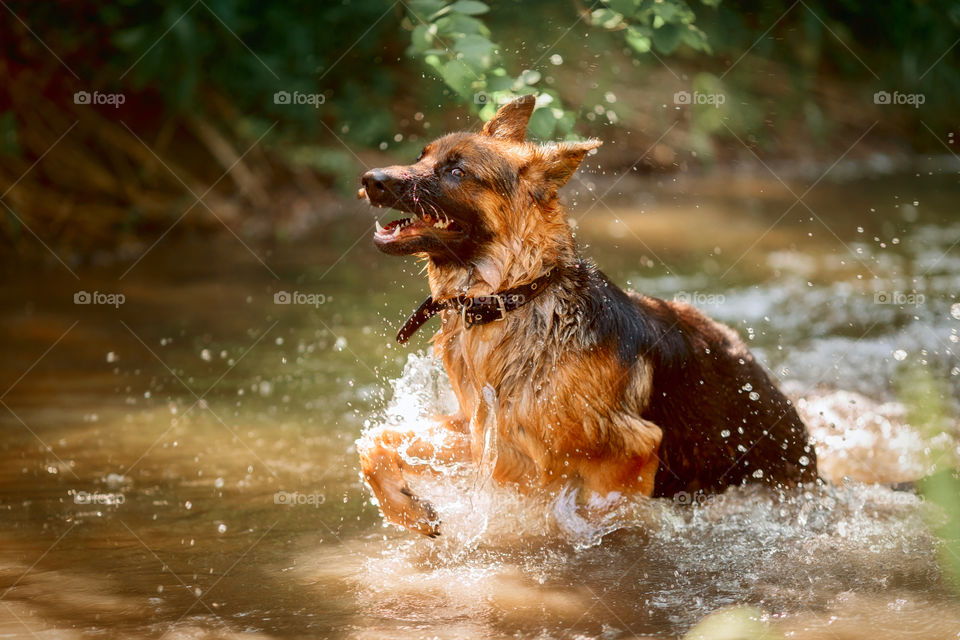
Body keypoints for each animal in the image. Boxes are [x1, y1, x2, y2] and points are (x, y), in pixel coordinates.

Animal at [356, 95, 812, 536]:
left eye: (456, 171)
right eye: (421, 156)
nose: (371, 180)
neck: (515, 295)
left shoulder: (628, 455)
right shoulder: (485, 432)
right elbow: (374, 441)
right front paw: (408, 511)